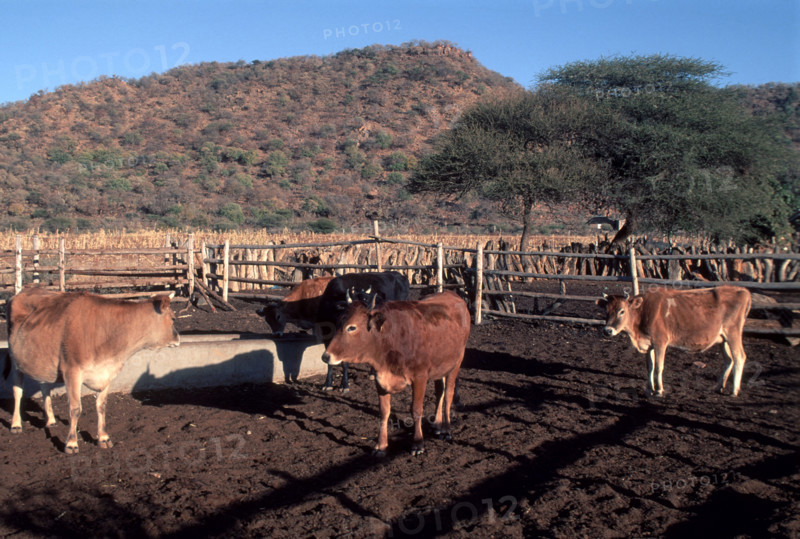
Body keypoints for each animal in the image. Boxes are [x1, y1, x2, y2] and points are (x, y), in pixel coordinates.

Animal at [6, 288, 180, 453]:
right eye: (173, 318)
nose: (178, 339)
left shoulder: (107, 373)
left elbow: (101, 406)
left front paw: (103, 438)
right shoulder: (72, 371)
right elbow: (75, 408)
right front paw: (71, 443)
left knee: (44, 387)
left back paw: (51, 420)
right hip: (15, 361)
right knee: (17, 391)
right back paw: (16, 425)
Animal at [321, 290, 470, 456]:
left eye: (352, 327)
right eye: (338, 324)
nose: (326, 356)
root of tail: (452, 294)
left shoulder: (420, 377)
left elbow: (416, 410)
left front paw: (418, 443)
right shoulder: (380, 380)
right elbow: (384, 412)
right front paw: (381, 445)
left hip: (456, 362)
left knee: (449, 394)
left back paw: (446, 430)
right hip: (440, 366)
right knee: (440, 392)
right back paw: (437, 425)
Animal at [596, 285, 752, 397]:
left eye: (621, 311)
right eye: (606, 311)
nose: (607, 331)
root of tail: (742, 290)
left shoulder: (660, 342)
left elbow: (659, 367)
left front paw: (659, 391)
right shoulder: (649, 344)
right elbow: (650, 367)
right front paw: (649, 389)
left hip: (733, 333)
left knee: (739, 357)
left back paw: (734, 391)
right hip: (722, 339)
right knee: (729, 360)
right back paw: (719, 387)